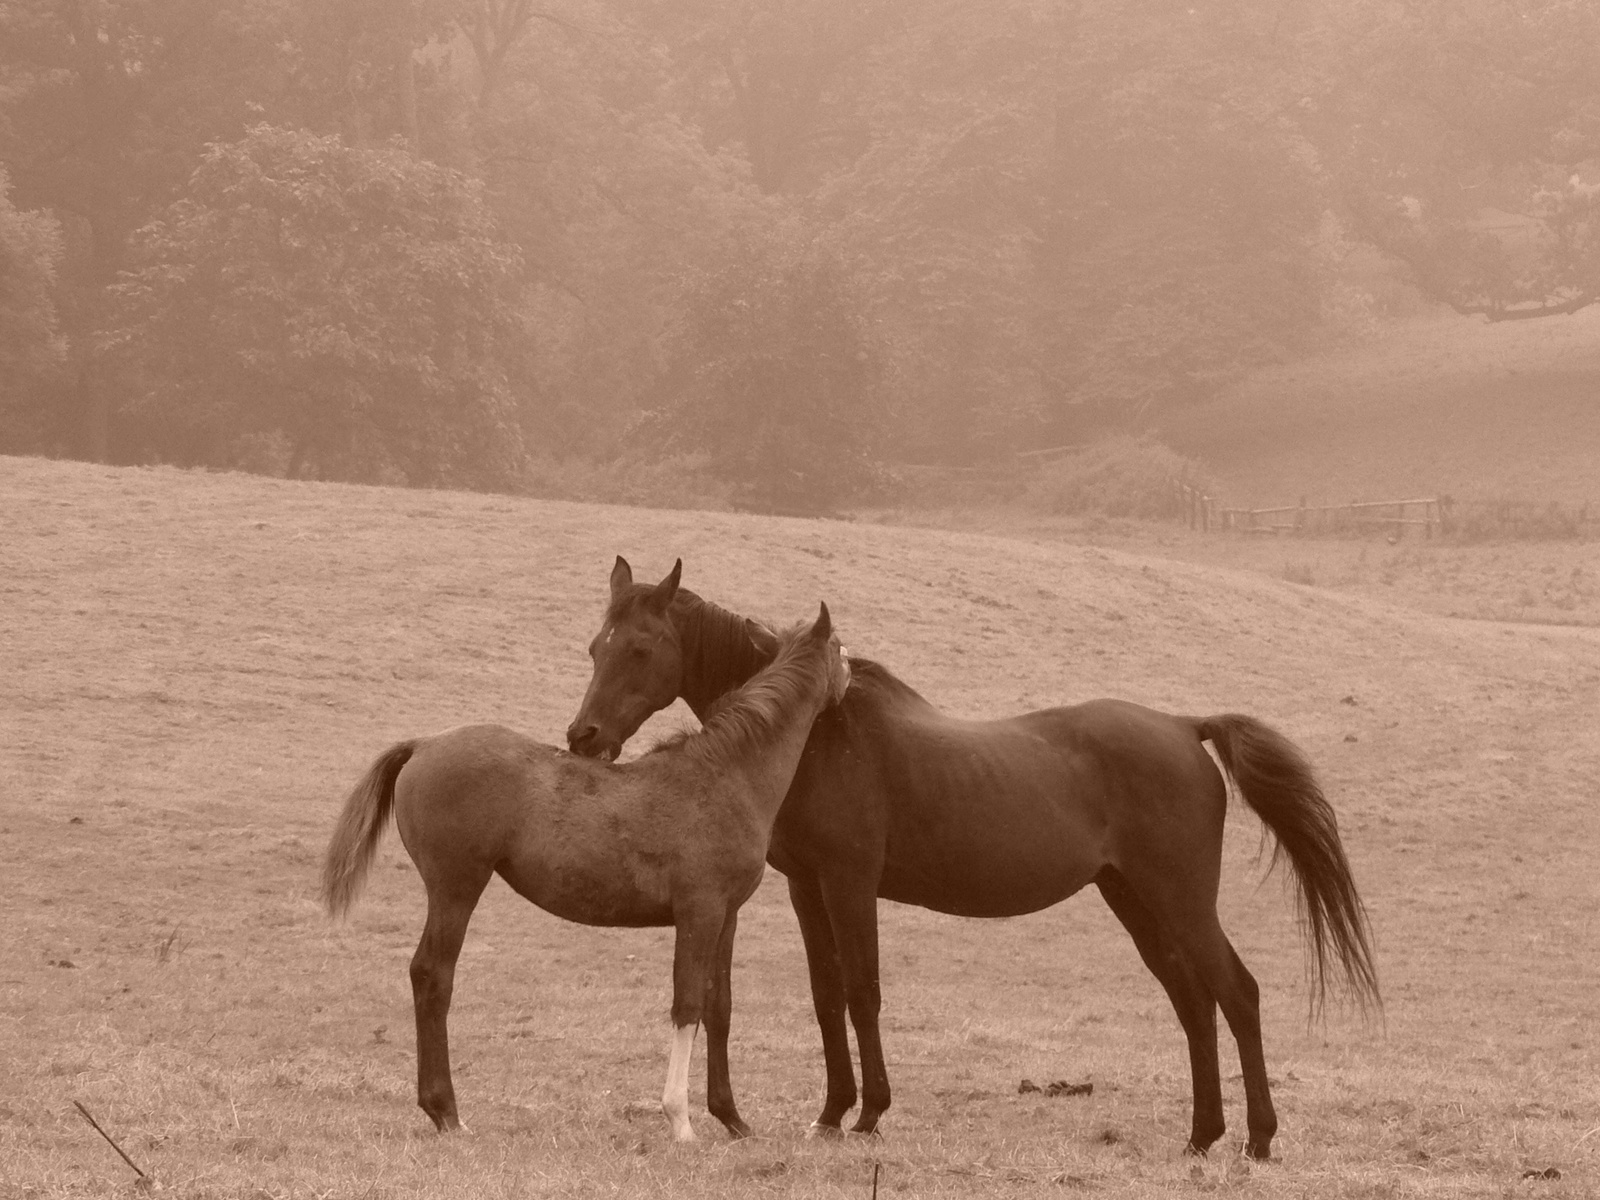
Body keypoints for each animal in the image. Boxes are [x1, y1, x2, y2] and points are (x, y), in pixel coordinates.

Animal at [318, 604, 857, 1139]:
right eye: (840, 650)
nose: (852, 679)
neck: (727, 775)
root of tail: (424, 744)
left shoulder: (726, 916)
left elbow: (716, 1006)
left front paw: (732, 1119)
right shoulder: (699, 913)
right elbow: (686, 1005)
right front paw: (680, 1121)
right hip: (455, 888)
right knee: (432, 975)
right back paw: (446, 1111)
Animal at [566, 560, 1376, 1158]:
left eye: (639, 648)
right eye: (594, 647)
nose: (583, 736)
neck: (818, 729)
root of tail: (1184, 727)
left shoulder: (850, 884)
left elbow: (862, 991)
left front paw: (870, 1114)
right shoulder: (807, 888)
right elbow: (827, 997)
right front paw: (830, 1113)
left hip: (1180, 901)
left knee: (1237, 994)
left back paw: (1259, 1140)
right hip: (1136, 903)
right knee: (1193, 1002)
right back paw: (1202, 1136)